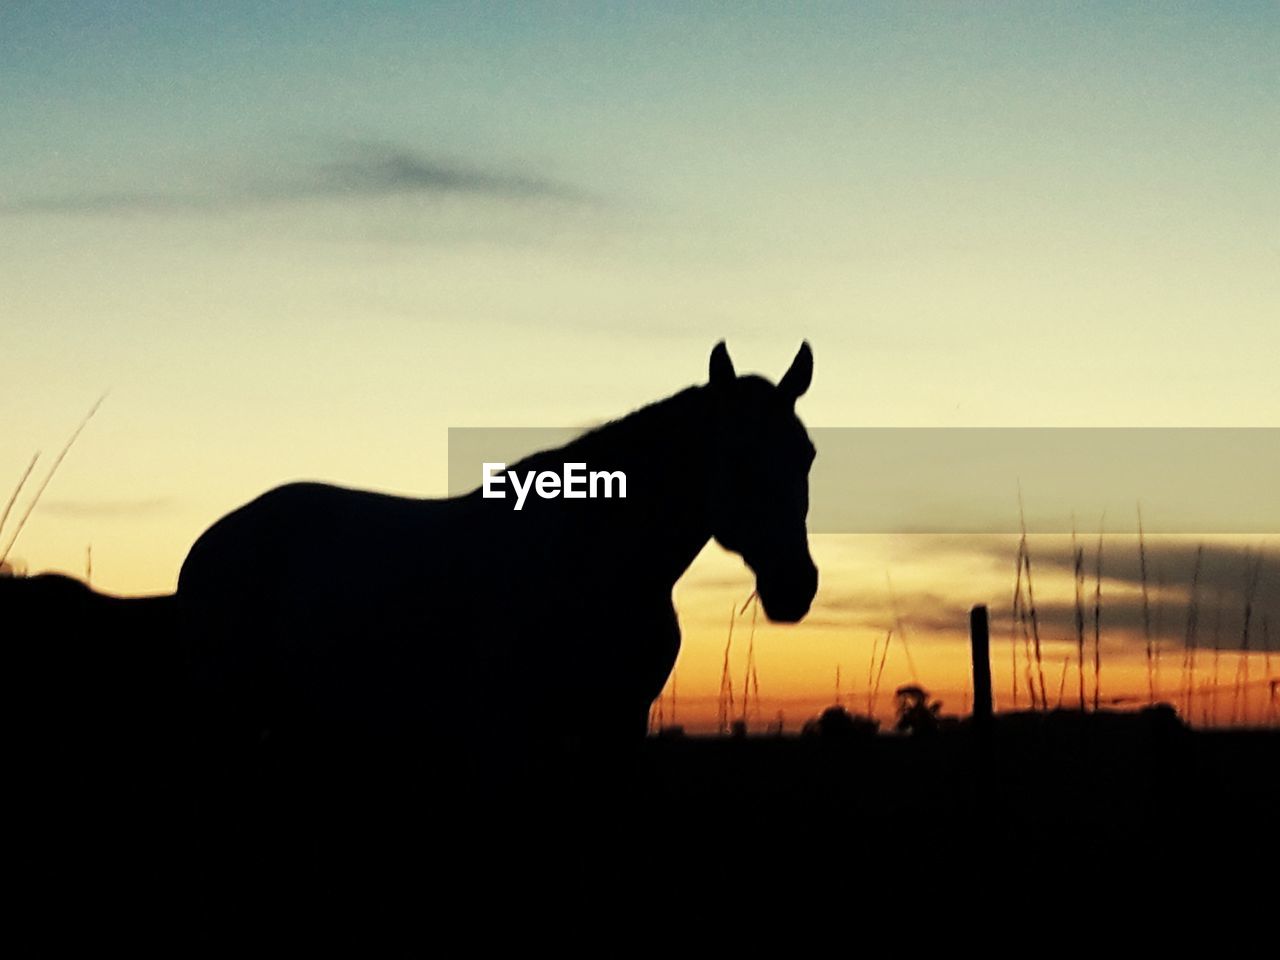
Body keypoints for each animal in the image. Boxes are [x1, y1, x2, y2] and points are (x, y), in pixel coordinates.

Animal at [177, 343, 819, 778]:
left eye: (807, 454)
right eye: (736, 458)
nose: (795, 586)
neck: (595, 559)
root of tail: (213, 542)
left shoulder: (618, 725)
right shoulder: (508, 735)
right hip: (224, 718)